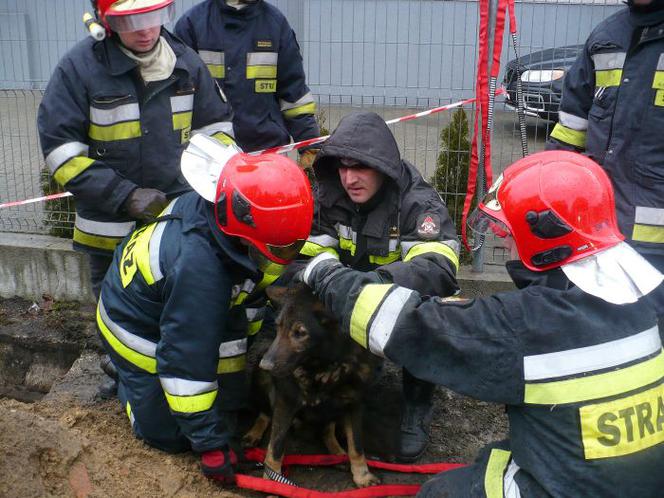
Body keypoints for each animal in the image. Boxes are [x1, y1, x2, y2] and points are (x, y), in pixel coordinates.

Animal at [243, 284, 378, 486]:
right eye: (278, 327)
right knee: (265, 413)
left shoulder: (354, 404)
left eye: (300, 333)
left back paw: (336, 454)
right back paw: (254, 433)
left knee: (326, 430)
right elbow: (275, 447)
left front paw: (362, 475)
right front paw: (273, 481)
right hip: (262, 381)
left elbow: (356, 446)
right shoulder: (285, 402)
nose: (265, 365)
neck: (322, 365)